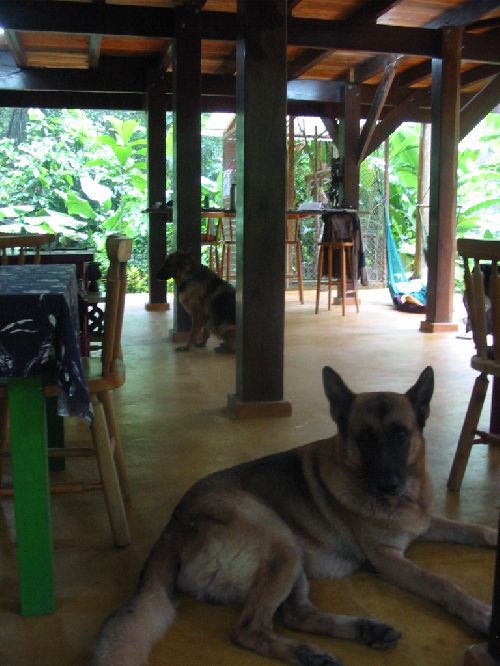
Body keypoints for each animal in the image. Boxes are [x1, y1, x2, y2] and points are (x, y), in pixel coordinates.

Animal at [92, 366, 494, 660]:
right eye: (364, 437)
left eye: (400, 434)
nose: (388, 485)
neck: (404, 499)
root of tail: (174, 527)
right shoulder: (389, 559)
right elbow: (442, 584)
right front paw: (481, 614)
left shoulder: (424, 523)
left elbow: (470, 528)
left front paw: (492, 534)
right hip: (281, 543)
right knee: (249, 629)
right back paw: (306, 654)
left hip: (292, 555)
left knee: (295, 614)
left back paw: (363, 631)